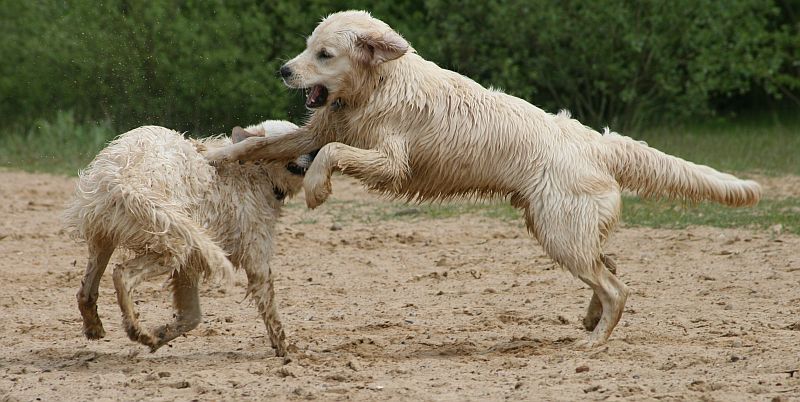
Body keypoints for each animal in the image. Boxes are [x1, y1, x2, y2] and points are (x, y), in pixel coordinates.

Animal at [63, 120, 312, 357]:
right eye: (290, 141)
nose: (315, 152)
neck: (253, 170)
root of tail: (125, 178)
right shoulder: (256, 259)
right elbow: (272, 314)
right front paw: (287, 351)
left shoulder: (189, 267)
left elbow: (192, 317)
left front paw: (161, 336)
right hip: (173, 245)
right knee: (122, 274)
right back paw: (136, 330)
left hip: (106, 236)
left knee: (86, 292)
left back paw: (95, 326)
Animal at [206, 11, 761, 347]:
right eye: (307, 48)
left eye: (324, 55)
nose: (283, 70)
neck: (378, 85)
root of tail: (592, 139)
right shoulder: (320, 127)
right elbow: (265, 145)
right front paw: (220, 155)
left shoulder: (391, 161)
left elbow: (332, 155)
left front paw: (318, 189)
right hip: (558, 227)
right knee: (611, 266)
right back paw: (589, 320)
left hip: (558, 231)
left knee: (617, 288)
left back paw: (592, 340)